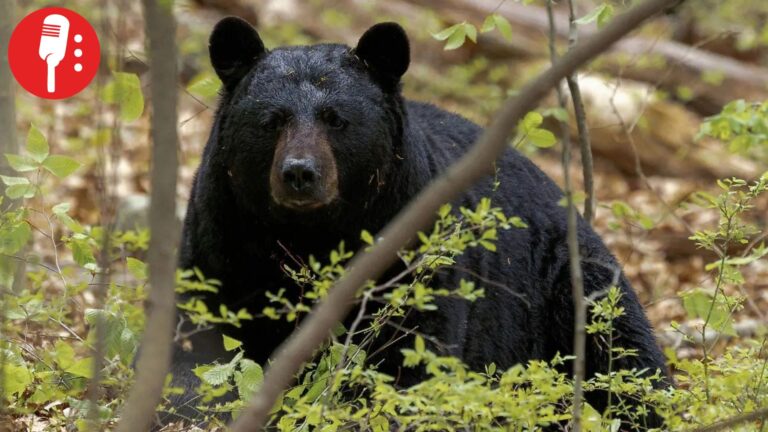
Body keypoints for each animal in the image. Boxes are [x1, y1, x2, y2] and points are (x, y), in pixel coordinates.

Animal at [166, 17, 669, 428]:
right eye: (272, 120)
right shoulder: (221, 238)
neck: (310, 234)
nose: (299, 173)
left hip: (568, 282)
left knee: (626, 355)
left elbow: (413, 354)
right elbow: (198, 343)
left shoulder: (411, 247)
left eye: (336, 119)